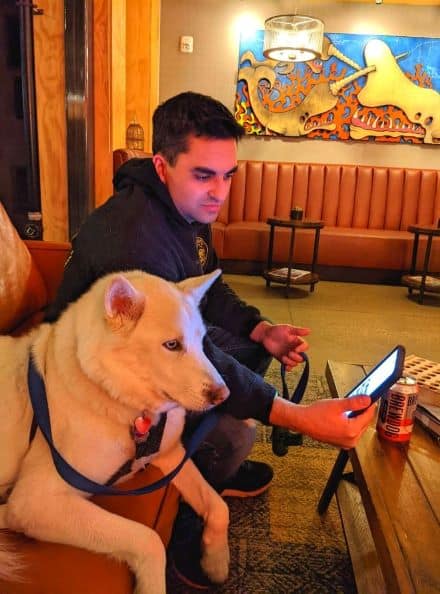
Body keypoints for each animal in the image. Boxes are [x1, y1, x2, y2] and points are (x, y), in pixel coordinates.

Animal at [0, 270, 232, 592]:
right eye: (172, 345)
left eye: (202, 341)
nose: (224, 395)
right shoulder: (35, 503)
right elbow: (149, 540)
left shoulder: (171, 455)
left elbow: (219, 507)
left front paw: (216, 561)